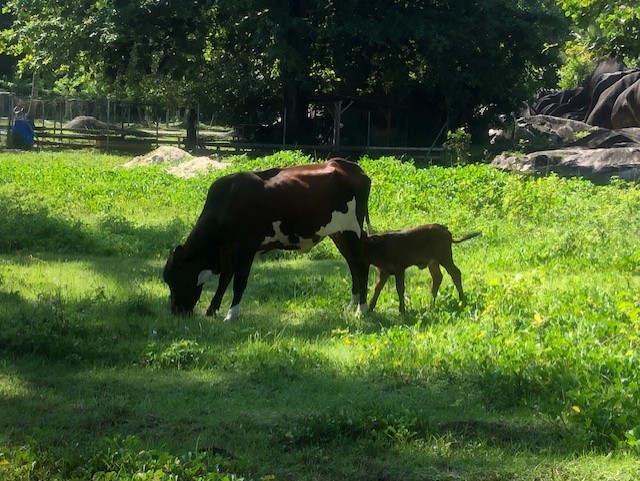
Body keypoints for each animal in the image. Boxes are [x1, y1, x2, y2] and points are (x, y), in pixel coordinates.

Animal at [163, 158, 372, 322]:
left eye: (177, 279)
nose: (175, 311)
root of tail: (349, 166)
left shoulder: (246, 248)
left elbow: (239, 282)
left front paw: (231, 315)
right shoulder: (229, 251)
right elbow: (224, 280)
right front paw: (211, 310)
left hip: (352, 229)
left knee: (361, 265)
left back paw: (361, 310)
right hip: (338, 233)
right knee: (353, 265)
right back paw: (351, 306)